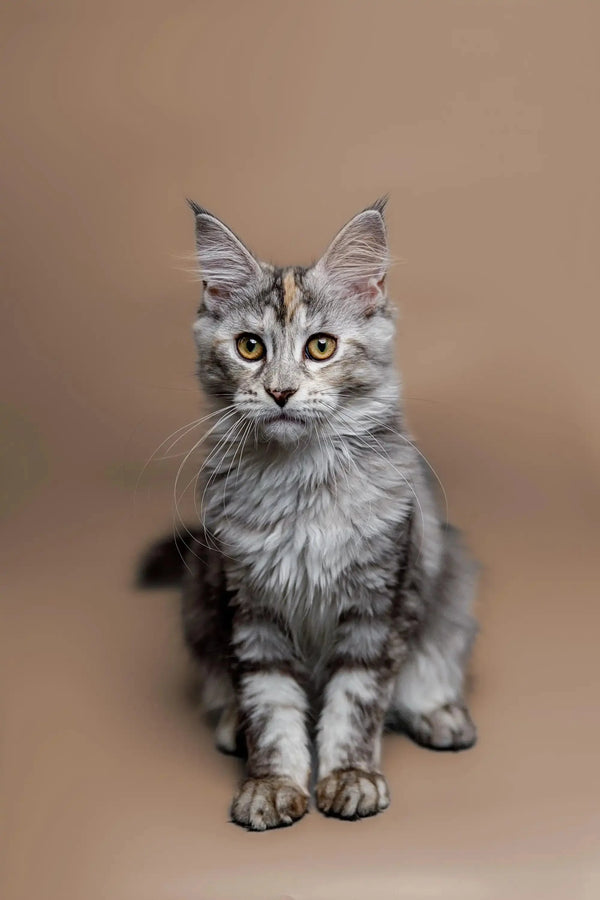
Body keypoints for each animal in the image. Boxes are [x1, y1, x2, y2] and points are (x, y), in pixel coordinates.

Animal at [141, 200, 478, 832]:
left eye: (320, 347)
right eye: (250, 347)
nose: (280, 392)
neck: (299, 485)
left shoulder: (378, 604)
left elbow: (357, 703)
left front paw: (350, 776)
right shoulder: (250, 607)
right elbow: (270, 709)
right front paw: (272, 785)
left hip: (453, 581)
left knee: (428, 667)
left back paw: (440, 715)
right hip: (200, 591)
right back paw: (231, 729)